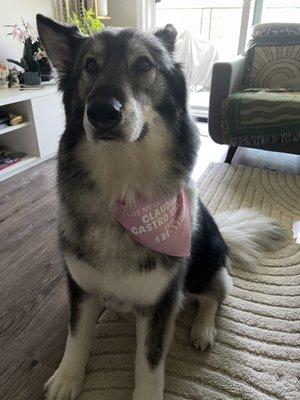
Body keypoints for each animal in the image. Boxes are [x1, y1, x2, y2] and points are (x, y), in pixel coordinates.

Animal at [36, 14, 284, 400]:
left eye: (143, 65)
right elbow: (76, 336)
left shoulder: (162, 302)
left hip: (203, 264)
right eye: (90, 65)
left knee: (216, 293)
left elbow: (149, 365)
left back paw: (202, 329)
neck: (123, 191)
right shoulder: (81, 287)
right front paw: (68, 378)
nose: (102, 112)